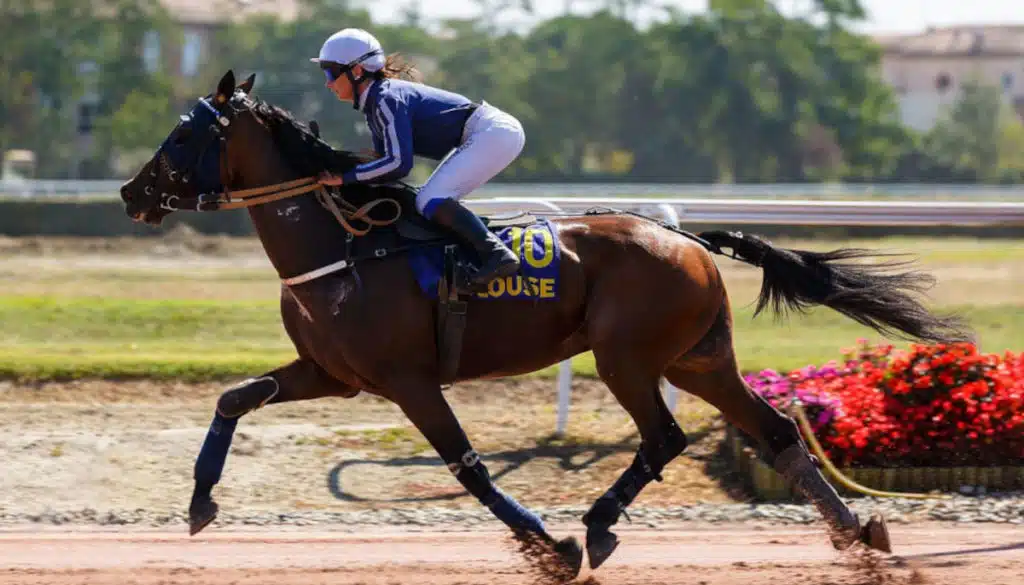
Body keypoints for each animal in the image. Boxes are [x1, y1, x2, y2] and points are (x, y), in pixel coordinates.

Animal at [117, 71, 966, 577]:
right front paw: (199, 503)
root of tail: (690, 240)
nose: (130, 191)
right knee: (777, 432)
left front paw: (548, 544)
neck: (343, 246)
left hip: (628, 357)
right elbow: (233, 397)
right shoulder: (333, 374)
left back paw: (596, 523)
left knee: (665, 436)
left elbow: (468, 466)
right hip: (699, 359)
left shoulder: (408, 380)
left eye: (184, 134)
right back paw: (856, 533)